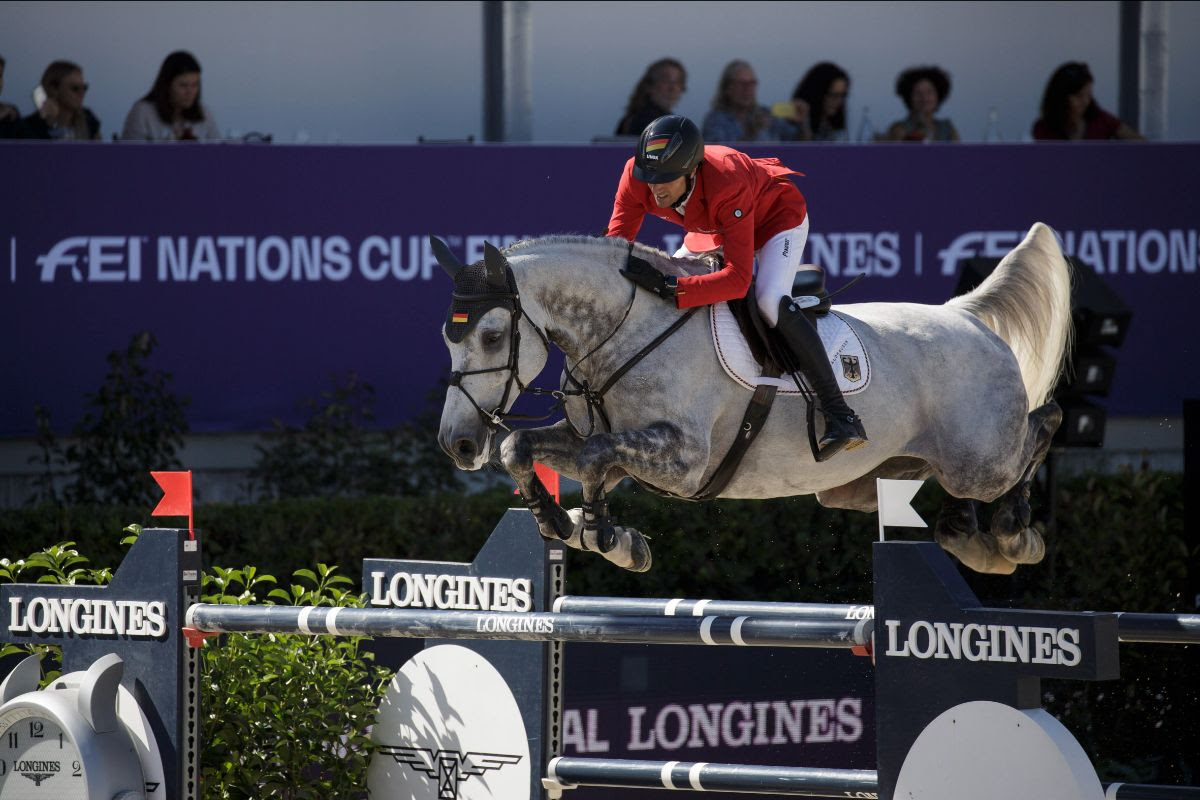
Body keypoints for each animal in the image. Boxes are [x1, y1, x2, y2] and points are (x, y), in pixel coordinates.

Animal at [436, 221, 1075, 575]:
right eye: (448, 336)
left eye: (491, 336)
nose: (458, 444)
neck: (628, 329)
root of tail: (965, 317)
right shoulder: (605, 444)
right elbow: (521, 447)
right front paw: (566, 524)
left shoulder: (683, 459)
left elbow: (594, 460)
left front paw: (604, 535)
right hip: (866, 483)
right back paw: (968, 537)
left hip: (981, 461)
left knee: (1043, 424)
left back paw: (1015, 535)